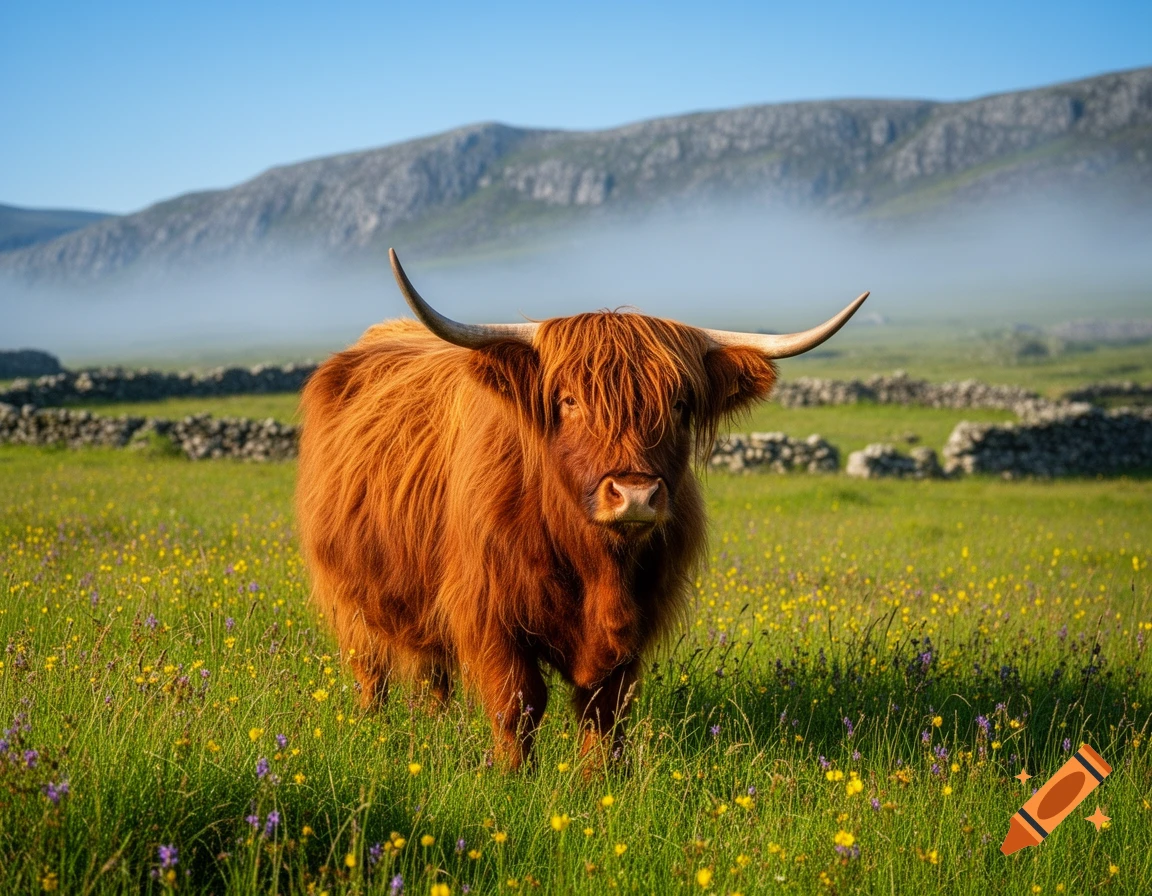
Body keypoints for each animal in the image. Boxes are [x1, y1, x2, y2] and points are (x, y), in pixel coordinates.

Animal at [296, 249, 867, 769]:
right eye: (569, 401)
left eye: (679, 404)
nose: (635, 495)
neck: (595, 563)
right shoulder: (489, 610)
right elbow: (518, 704)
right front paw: (514, 780)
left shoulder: (635, 621)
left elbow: (604, 711)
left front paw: (598, 782)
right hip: (348, 593)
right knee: (372, 668)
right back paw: (371, 730)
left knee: (431, 673)